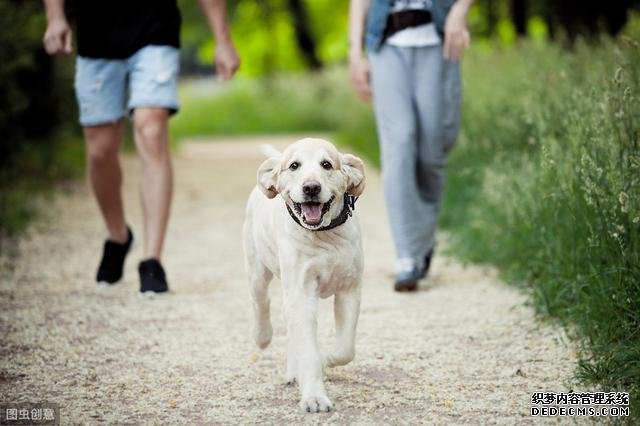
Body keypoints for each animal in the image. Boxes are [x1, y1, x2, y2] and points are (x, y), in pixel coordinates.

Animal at [242, 138, 364, 412]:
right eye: (294, 166)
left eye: (326, 164)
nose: (311, 187)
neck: (325, 236)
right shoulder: (301, 293)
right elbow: (308, 351)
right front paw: (314, 398)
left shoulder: (349, 291)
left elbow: (346, 349)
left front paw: (326, 359)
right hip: (257, 271)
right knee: (261, 302)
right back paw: (262, 336)